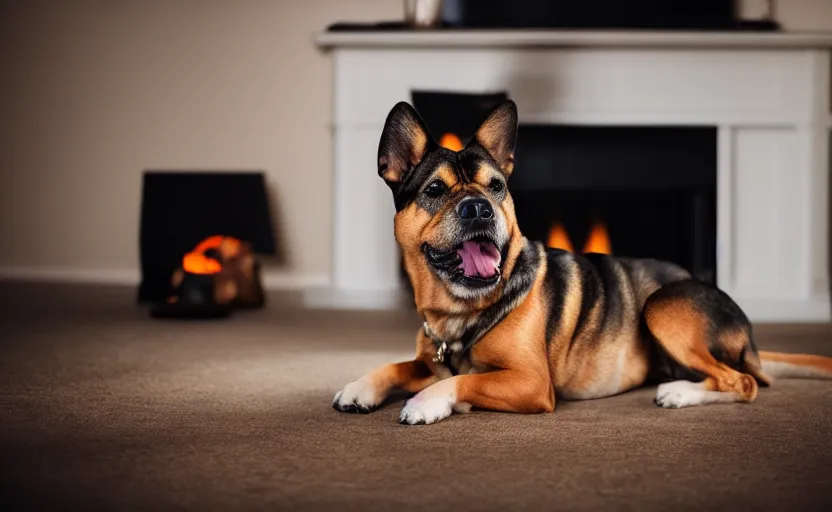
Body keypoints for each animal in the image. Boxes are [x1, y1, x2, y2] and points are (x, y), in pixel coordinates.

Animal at [334, 99, 832, 424]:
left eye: (496, 187)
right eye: (435, 190)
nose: (478, 208)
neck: (459, 309)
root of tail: (750, 338)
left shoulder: (531, 383)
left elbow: (463, 381)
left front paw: (427, 403)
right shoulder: (429, 359)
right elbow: (399, 366)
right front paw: (360, 386)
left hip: (663, 306)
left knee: (743, 384)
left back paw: (679, 395)